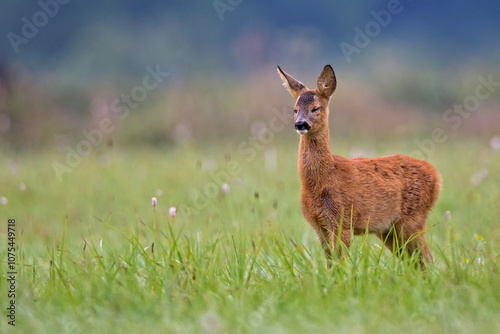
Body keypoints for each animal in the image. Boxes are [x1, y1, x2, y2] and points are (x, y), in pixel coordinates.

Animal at [278, 64, 442, 270]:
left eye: (316, 108)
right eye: (295, 109)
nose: (300, 124)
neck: (324, 179)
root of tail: (436, 175)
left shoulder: (343, 221)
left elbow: (339, 264)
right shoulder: (319, 226)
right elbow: (330, 264)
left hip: (413, 218)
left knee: (426, 259)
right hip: (388, 229)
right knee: (414, 260)